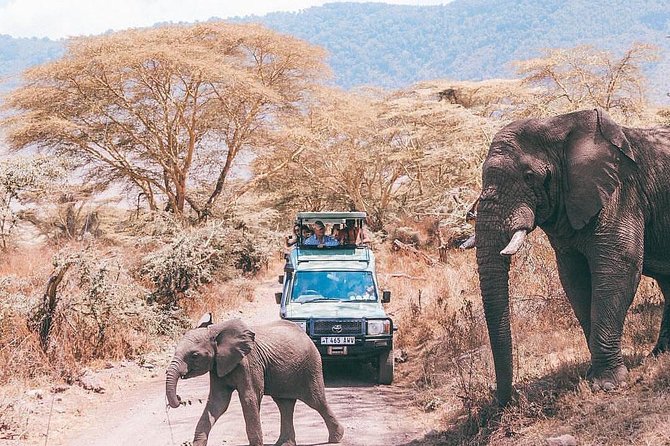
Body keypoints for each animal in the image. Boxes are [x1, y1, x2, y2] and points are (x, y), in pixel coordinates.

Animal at [166, 314, 344, 446]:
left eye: (194, 355)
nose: (179, 398)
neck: (215, 331)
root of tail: (306, 335)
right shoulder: (217, 367)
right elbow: (218, 402)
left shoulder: (249, 363)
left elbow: (249, 398)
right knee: (285, 404)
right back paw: (284, 443)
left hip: (311, 366)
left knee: (316, 401)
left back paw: (336, 438)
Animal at [464, 108, 670, 406]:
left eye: (529, 176)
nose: (504, 401)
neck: (558, 126)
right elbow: (574, 279)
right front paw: (592, 376)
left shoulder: (621, 193)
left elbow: (619, 268)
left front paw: (607, 385)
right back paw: (658, 356)